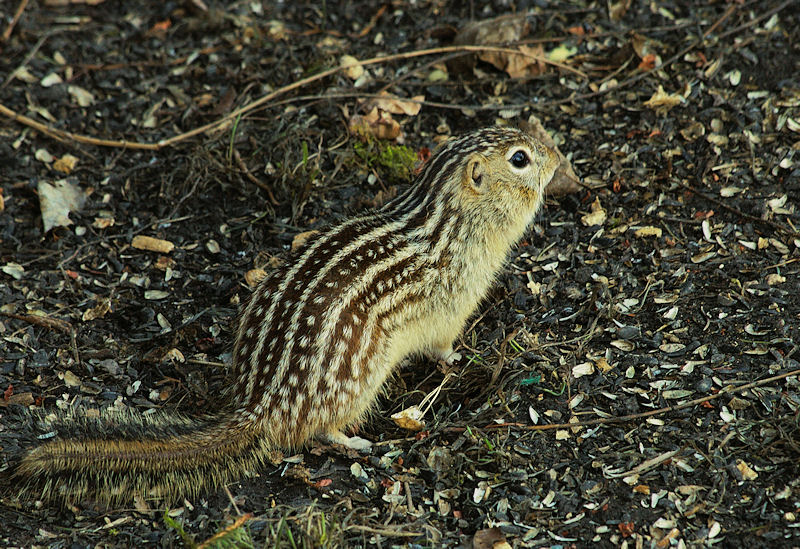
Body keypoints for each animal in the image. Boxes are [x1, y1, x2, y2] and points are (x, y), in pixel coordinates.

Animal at [5, 126, 560, 504]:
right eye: (519, 159)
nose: (558, 156)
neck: (450, 223)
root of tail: (261, 403)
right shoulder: (453, 302)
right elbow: (443, 343)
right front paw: (459, 359)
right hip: (357, 381)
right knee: (322, 430)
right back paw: (356, 439)